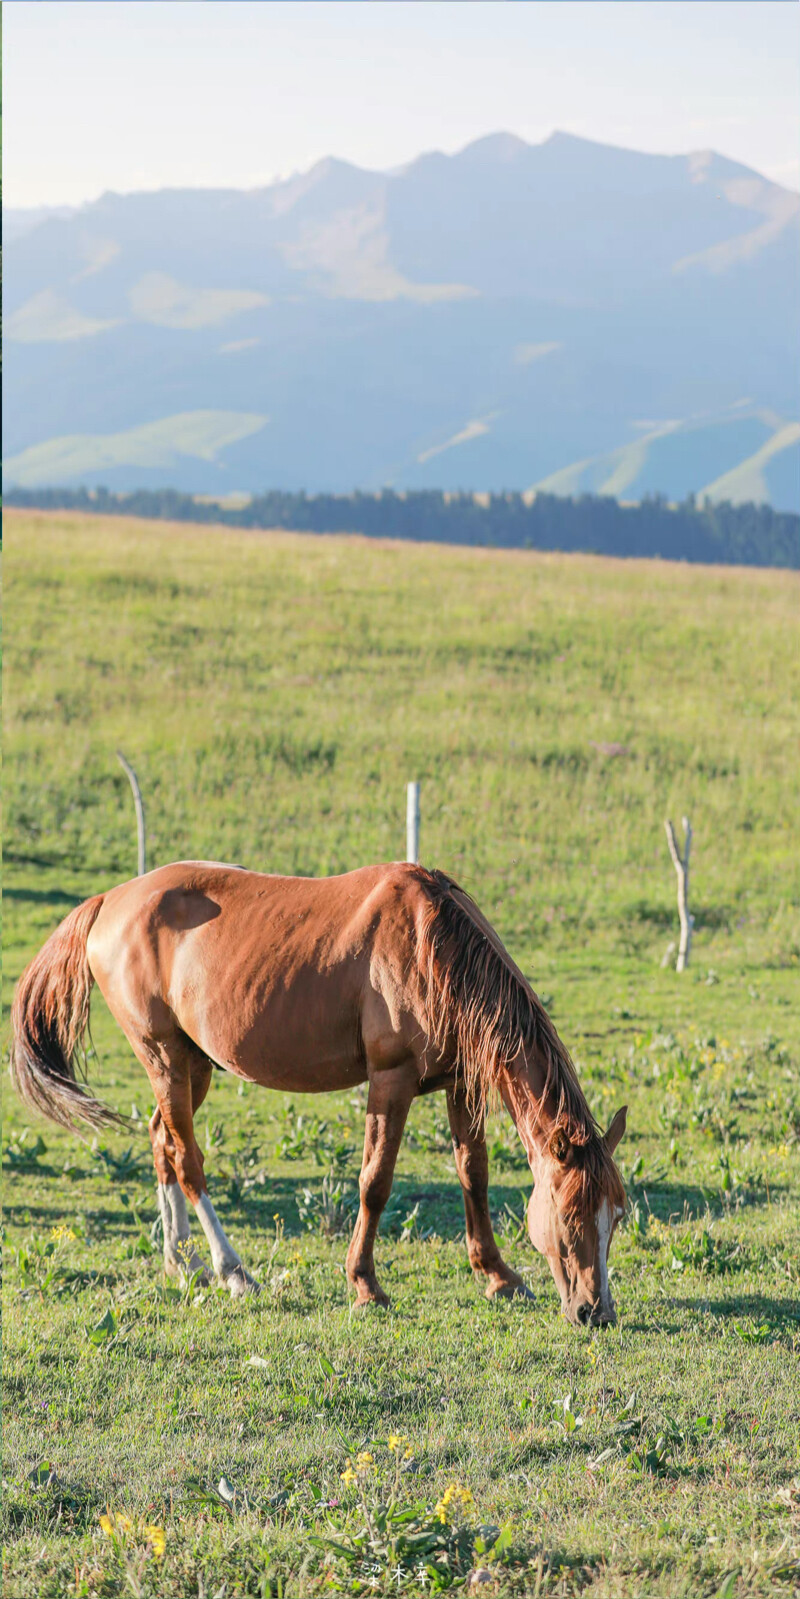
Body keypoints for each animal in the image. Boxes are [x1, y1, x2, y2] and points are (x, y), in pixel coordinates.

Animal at [9, 863, 627, 1323]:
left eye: (616, 1216)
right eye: (570, 1215)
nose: (596, 1312)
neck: (432, 945)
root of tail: (111, 899)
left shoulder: (460, 1084)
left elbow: (473, 1175)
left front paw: (498, 1277)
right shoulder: (391, 1080)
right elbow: (375, 1183)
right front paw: (365, 1284)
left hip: (191, 1065)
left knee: (163, 1142)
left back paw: (181, 1262)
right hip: (162, 1056)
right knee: (188, 1161)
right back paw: (232, 1271)